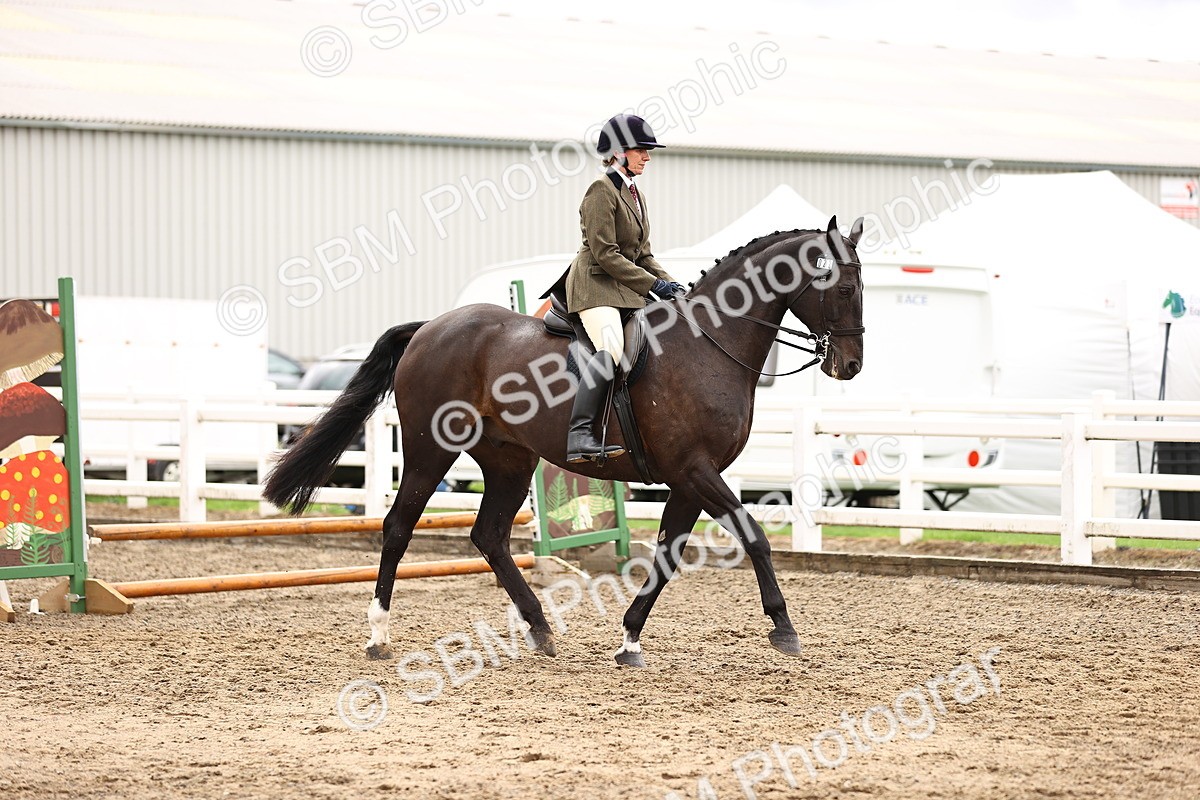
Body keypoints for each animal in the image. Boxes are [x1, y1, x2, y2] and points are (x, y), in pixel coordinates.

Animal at [264, 216, 866, 667]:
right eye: (842, 287)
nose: (850, 367)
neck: (709, 345)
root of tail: (430, 328)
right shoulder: (695, 471)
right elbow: (754, 537)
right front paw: (783, 628)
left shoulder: (688, 479)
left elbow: (667, 555)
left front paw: (629, 640)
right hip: (430, 450)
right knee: (397, 528)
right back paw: (379, 636)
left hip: (508, 460)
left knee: (489, 536)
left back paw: (540, 629)